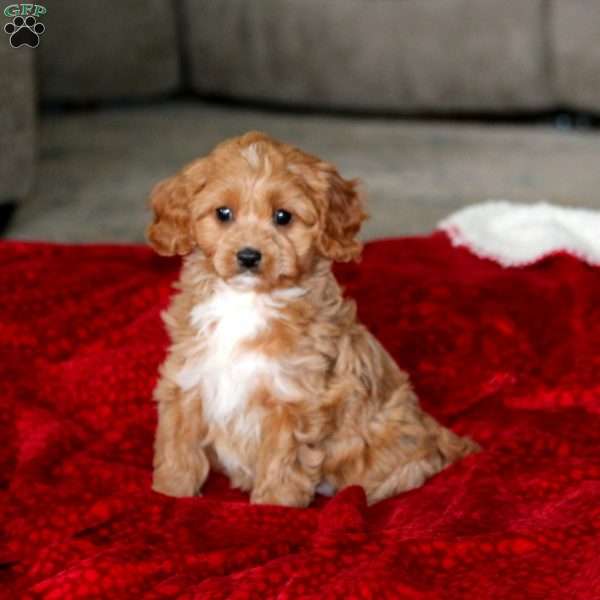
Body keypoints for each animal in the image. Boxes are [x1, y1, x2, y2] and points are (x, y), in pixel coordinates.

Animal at [146, 131, 478, 506]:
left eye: (283, 216)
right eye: (223, 213)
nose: (248, 256)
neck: (247, 301)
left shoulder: (293, 402)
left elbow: (281, 464)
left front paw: (273, 508)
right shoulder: (188, 381)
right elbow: (178, 448)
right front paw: (169, 494)